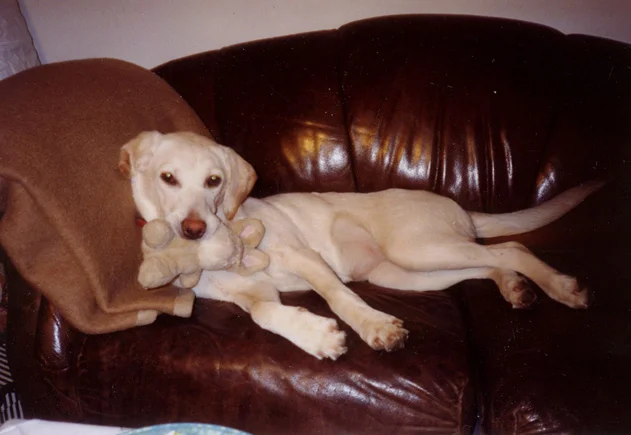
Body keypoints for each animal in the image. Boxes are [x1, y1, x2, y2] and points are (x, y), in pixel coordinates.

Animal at [122, 130, 604, 362]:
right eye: (168, 178)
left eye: (214, 181)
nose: (194, 231)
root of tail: (458, 205)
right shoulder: (254, 294)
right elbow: (264, 315)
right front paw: (314, 336)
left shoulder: (306, 258)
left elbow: (338, 297)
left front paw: (374, 328)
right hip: (408, 272)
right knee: (487, 265)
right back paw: (513, 287)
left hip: (420, 248)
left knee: (512, 249)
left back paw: (559, 287)